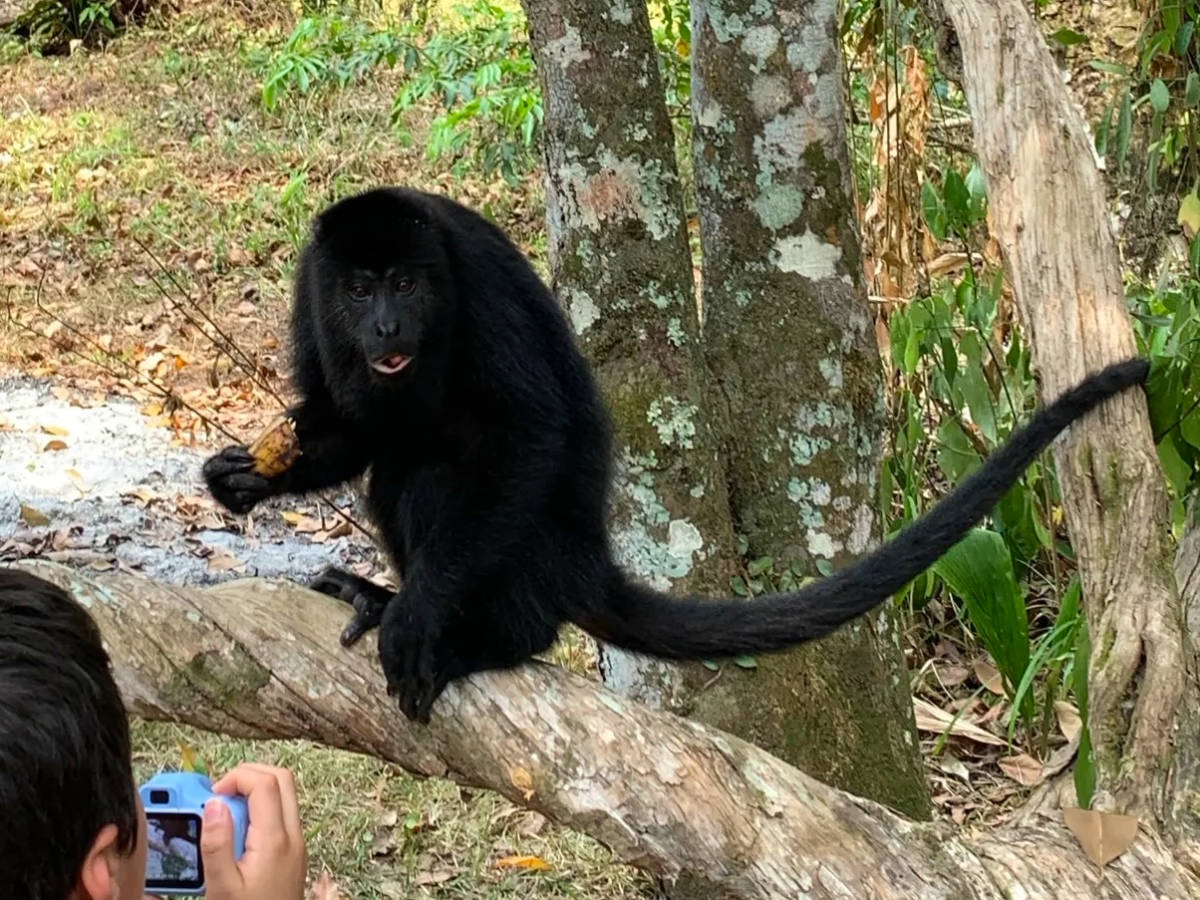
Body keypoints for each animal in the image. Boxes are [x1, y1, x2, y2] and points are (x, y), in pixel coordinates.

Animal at [202, 186, 1150, 723]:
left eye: (405, 282)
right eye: (360, 290)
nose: (388, 327)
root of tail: (585, 562)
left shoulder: (475, 277)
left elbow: (529, 433)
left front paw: (421, 617)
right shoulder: (309, 291)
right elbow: (349, 424)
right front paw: (245, 477)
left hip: (536, 555)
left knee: (438, 475)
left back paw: (478, 637)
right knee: (402, 461)